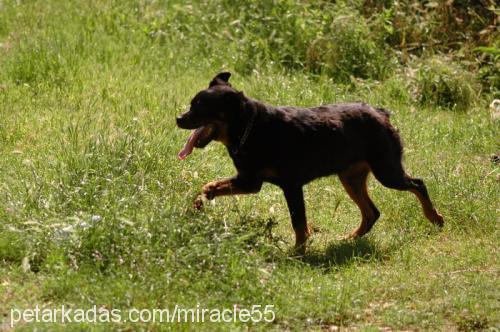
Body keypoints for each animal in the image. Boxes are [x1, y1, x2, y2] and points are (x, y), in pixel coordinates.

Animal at [177, 72, 446, 253]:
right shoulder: (249, 181)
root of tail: (381, 113)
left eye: (200, 107)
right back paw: (349, 238)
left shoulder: (290, 186)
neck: (249, 128)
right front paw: (198, 204)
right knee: (372, 212)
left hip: (386, 170)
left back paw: (435, 218)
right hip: (351, 177)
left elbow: (299, 223)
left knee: (417, 184)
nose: (178, 118)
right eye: (191, 104)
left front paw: (297, 253)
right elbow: (209, 186)